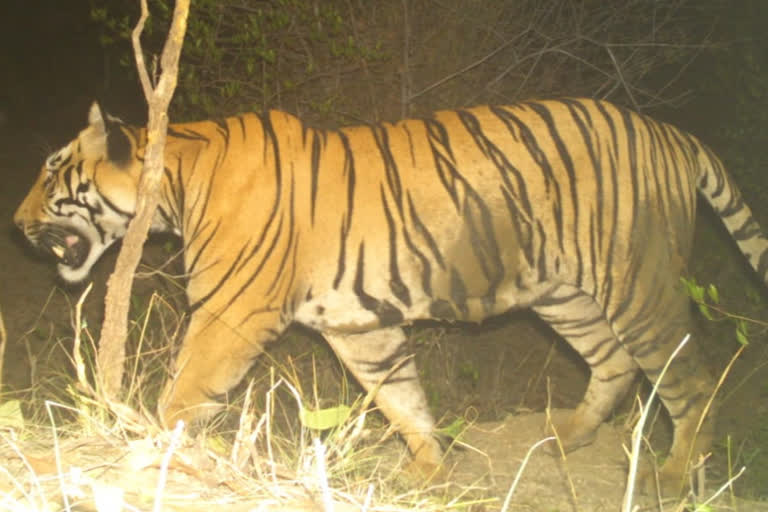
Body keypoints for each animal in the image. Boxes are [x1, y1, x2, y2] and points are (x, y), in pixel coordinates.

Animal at [12, 98, 768, 494]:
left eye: (52, 171)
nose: (16, 225)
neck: (174, 183)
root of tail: (674, 134)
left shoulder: (231, 312)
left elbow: (183, 393)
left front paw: (142, 452)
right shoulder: (358, 327)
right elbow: (402, 397)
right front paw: (426, 470)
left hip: (637, 283)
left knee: (689, 378)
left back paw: (674, 474)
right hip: (564, 294)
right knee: (613, 364)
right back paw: (566, 436)